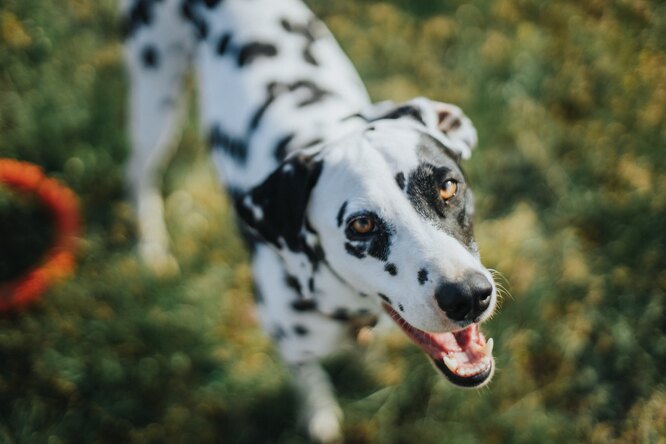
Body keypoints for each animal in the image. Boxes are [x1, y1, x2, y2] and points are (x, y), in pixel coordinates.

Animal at [120, 0, 492, 440]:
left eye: (448, 186)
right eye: (361, 225)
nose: (467, 295)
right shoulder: (292, 347)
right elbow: (309, 381)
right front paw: (320, 415)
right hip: (155, 101)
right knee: (140, 174)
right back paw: (151, 247)